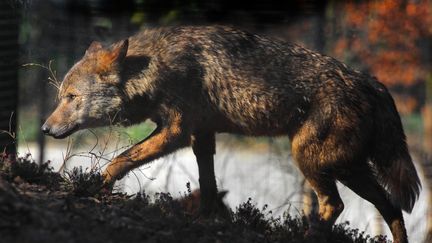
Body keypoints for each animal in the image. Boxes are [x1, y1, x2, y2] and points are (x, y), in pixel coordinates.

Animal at [42, 25, 420, 242]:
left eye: (71, 97)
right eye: (60, 96)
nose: (45, 128)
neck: (154, 67)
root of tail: (370, 82)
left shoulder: (176, 131)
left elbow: (119, 160)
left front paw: (96, 187)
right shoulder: (201, 135)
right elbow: (208, 185)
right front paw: (203, 220)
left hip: (312, 160)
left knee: (335, 204)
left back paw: (302, 238)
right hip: (348, 168)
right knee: (390, 207)